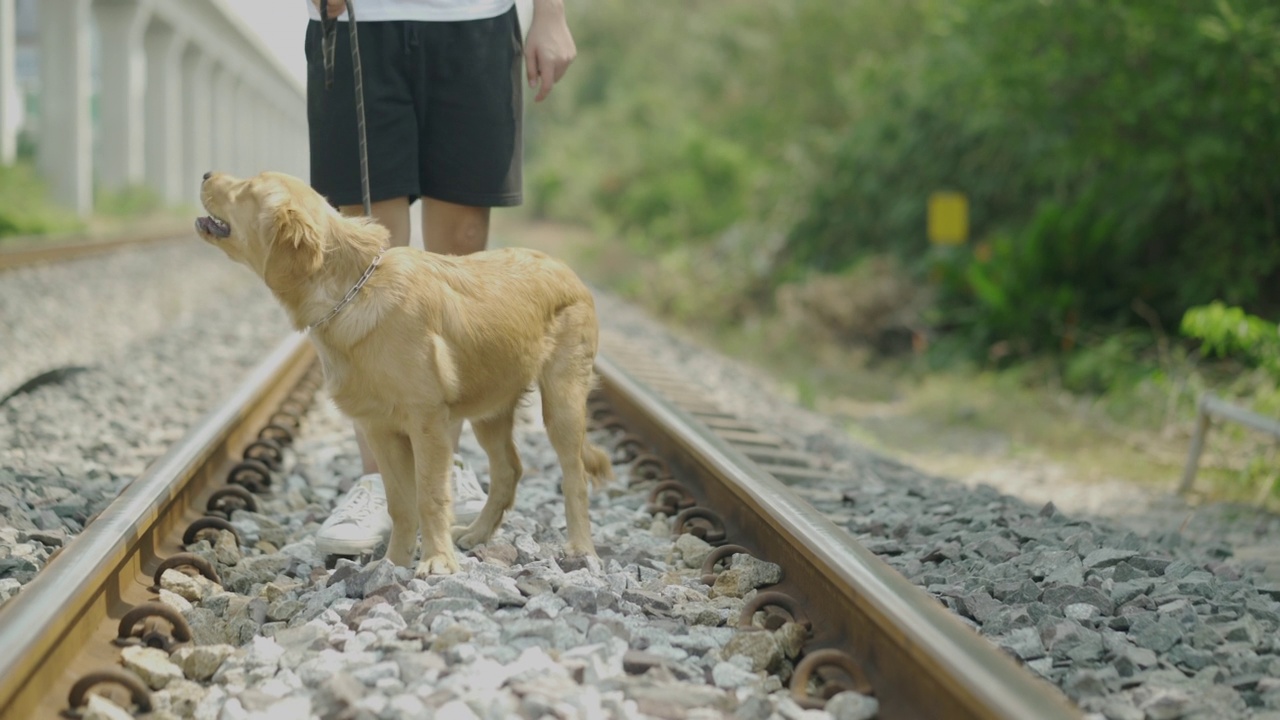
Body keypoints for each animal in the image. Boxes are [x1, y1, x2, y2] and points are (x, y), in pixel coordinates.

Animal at [195, 166, 614, 571]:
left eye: (248, 189)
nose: (206, 175)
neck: (354, 290)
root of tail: (567, 270)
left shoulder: (426, 421)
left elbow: (429, 496)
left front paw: (436, 561)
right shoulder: (379, 427)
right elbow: (400, 504)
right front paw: (394, 563)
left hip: (562, 401)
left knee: (574, 477)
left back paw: (581, 548)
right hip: (490, 407)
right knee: (508, 471)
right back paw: (477, 533)